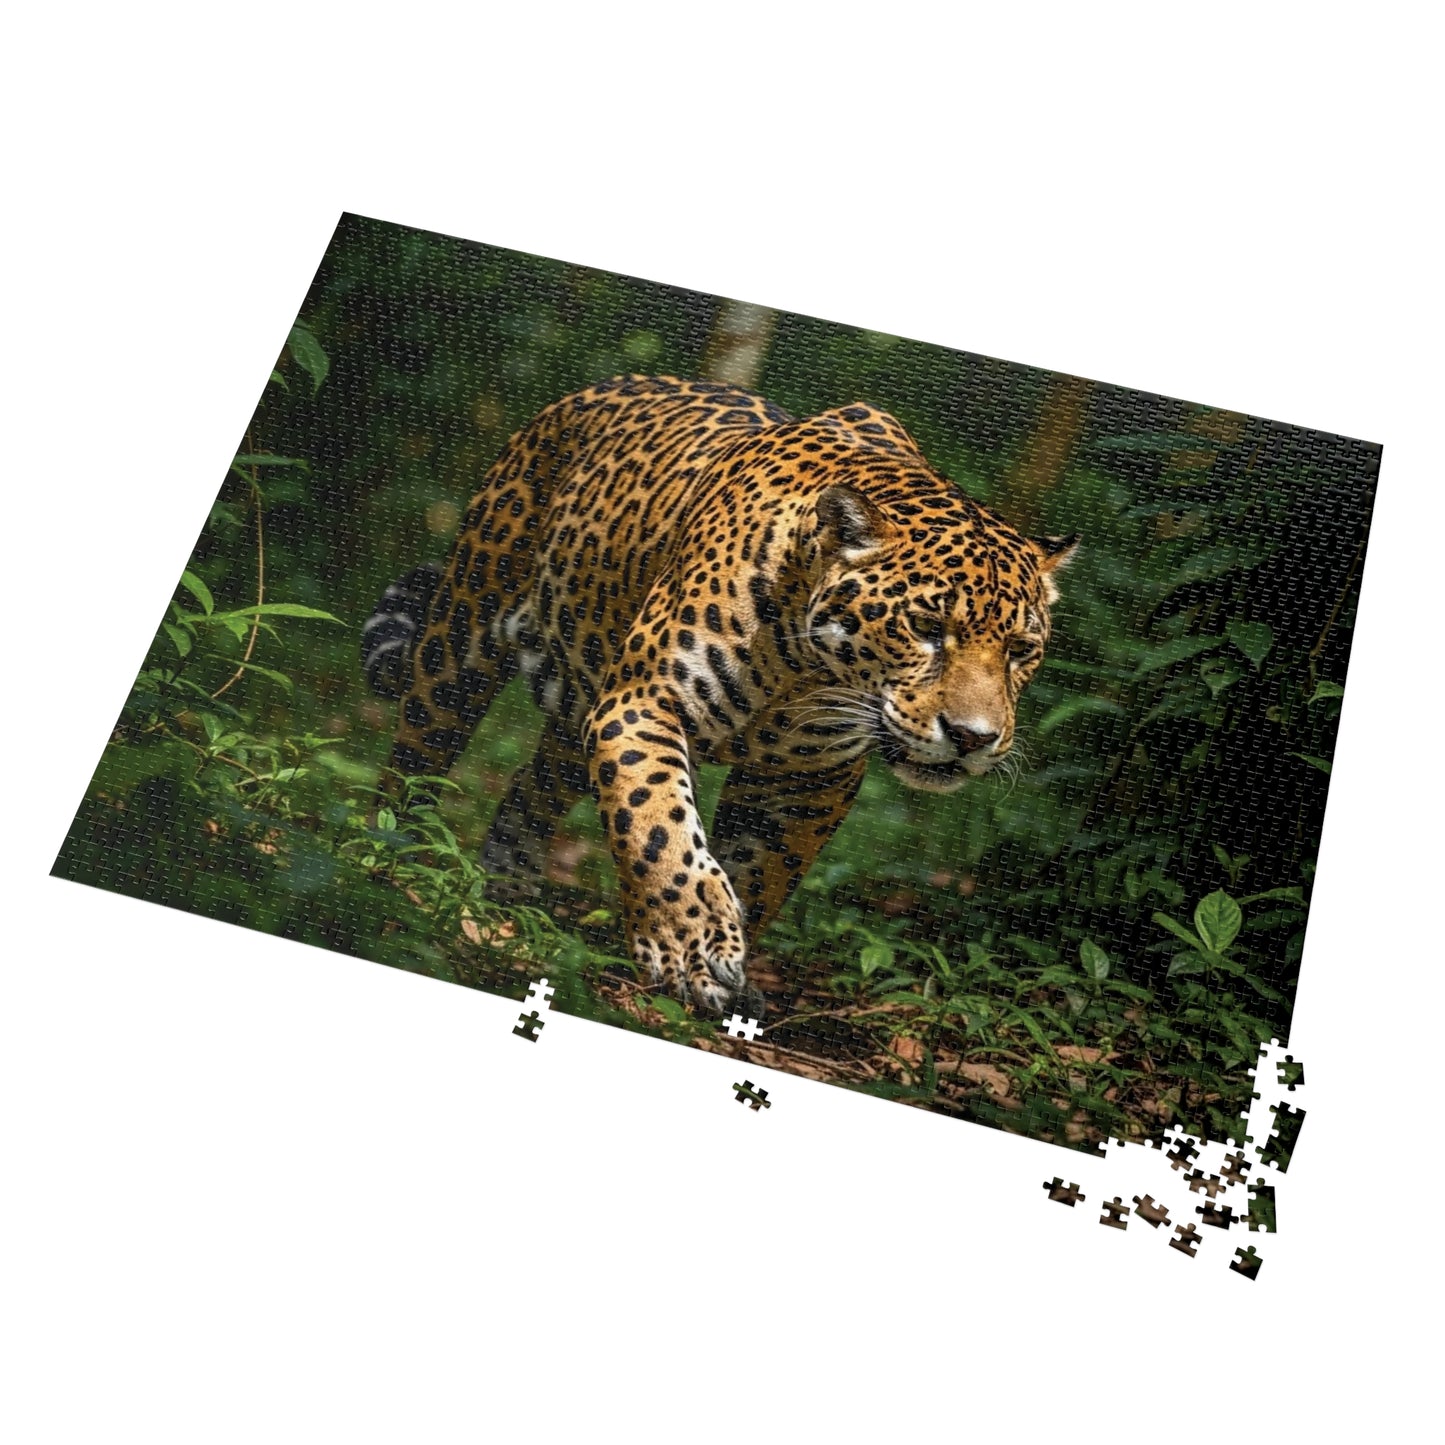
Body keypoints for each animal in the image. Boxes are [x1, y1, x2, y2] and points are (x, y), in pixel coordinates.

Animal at [363, 375, 1077, 1016]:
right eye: (927, 628)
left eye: (1021, 650)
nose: (973, 738)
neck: (805, 670)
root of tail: (583, 394)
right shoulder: (642, 702)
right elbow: (656, 824)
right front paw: (688, 949)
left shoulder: (811, 778)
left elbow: (760, 869)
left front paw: (728, 974)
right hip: (461, 637)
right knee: (417, 757)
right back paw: (394, 856)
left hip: (579, 701)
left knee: (531, 786)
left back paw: (506, 885)